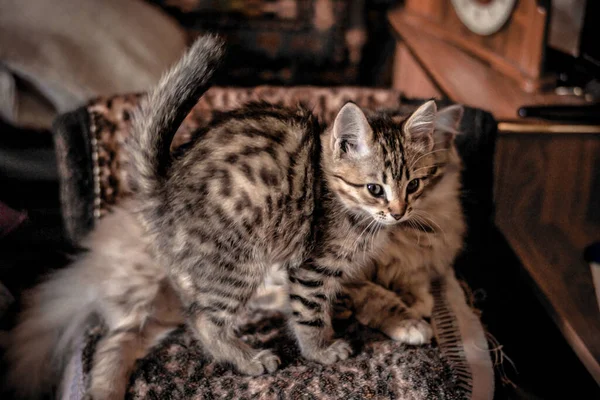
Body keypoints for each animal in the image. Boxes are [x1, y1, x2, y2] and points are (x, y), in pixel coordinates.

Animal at [344, 104, 466, 346]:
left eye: (415, 184)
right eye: (374, 188)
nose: (398, 212)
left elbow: (413, 277)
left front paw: (415, 299)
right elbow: (374, 295)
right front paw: (410, 323)